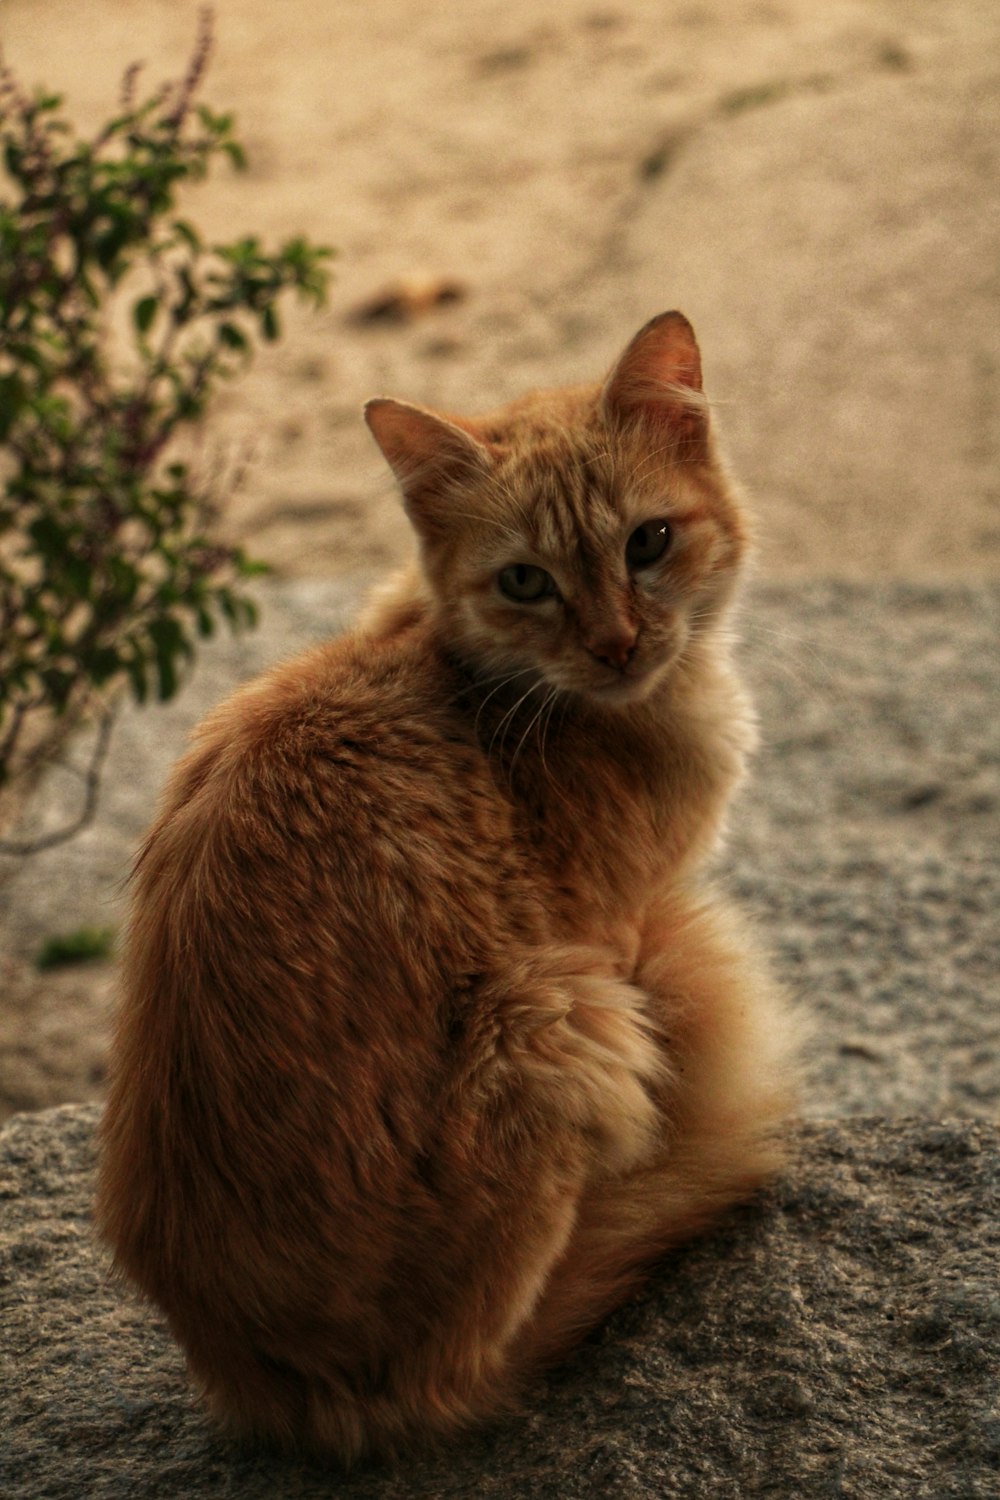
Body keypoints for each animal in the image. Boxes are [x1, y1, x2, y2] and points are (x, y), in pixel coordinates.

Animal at [95, 310, 797, 1458]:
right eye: (526, 582)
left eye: (647, 543)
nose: (617, 644)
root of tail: (294, 1394)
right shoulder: (612, 930)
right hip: (557, 1015)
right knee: (471, 1372)